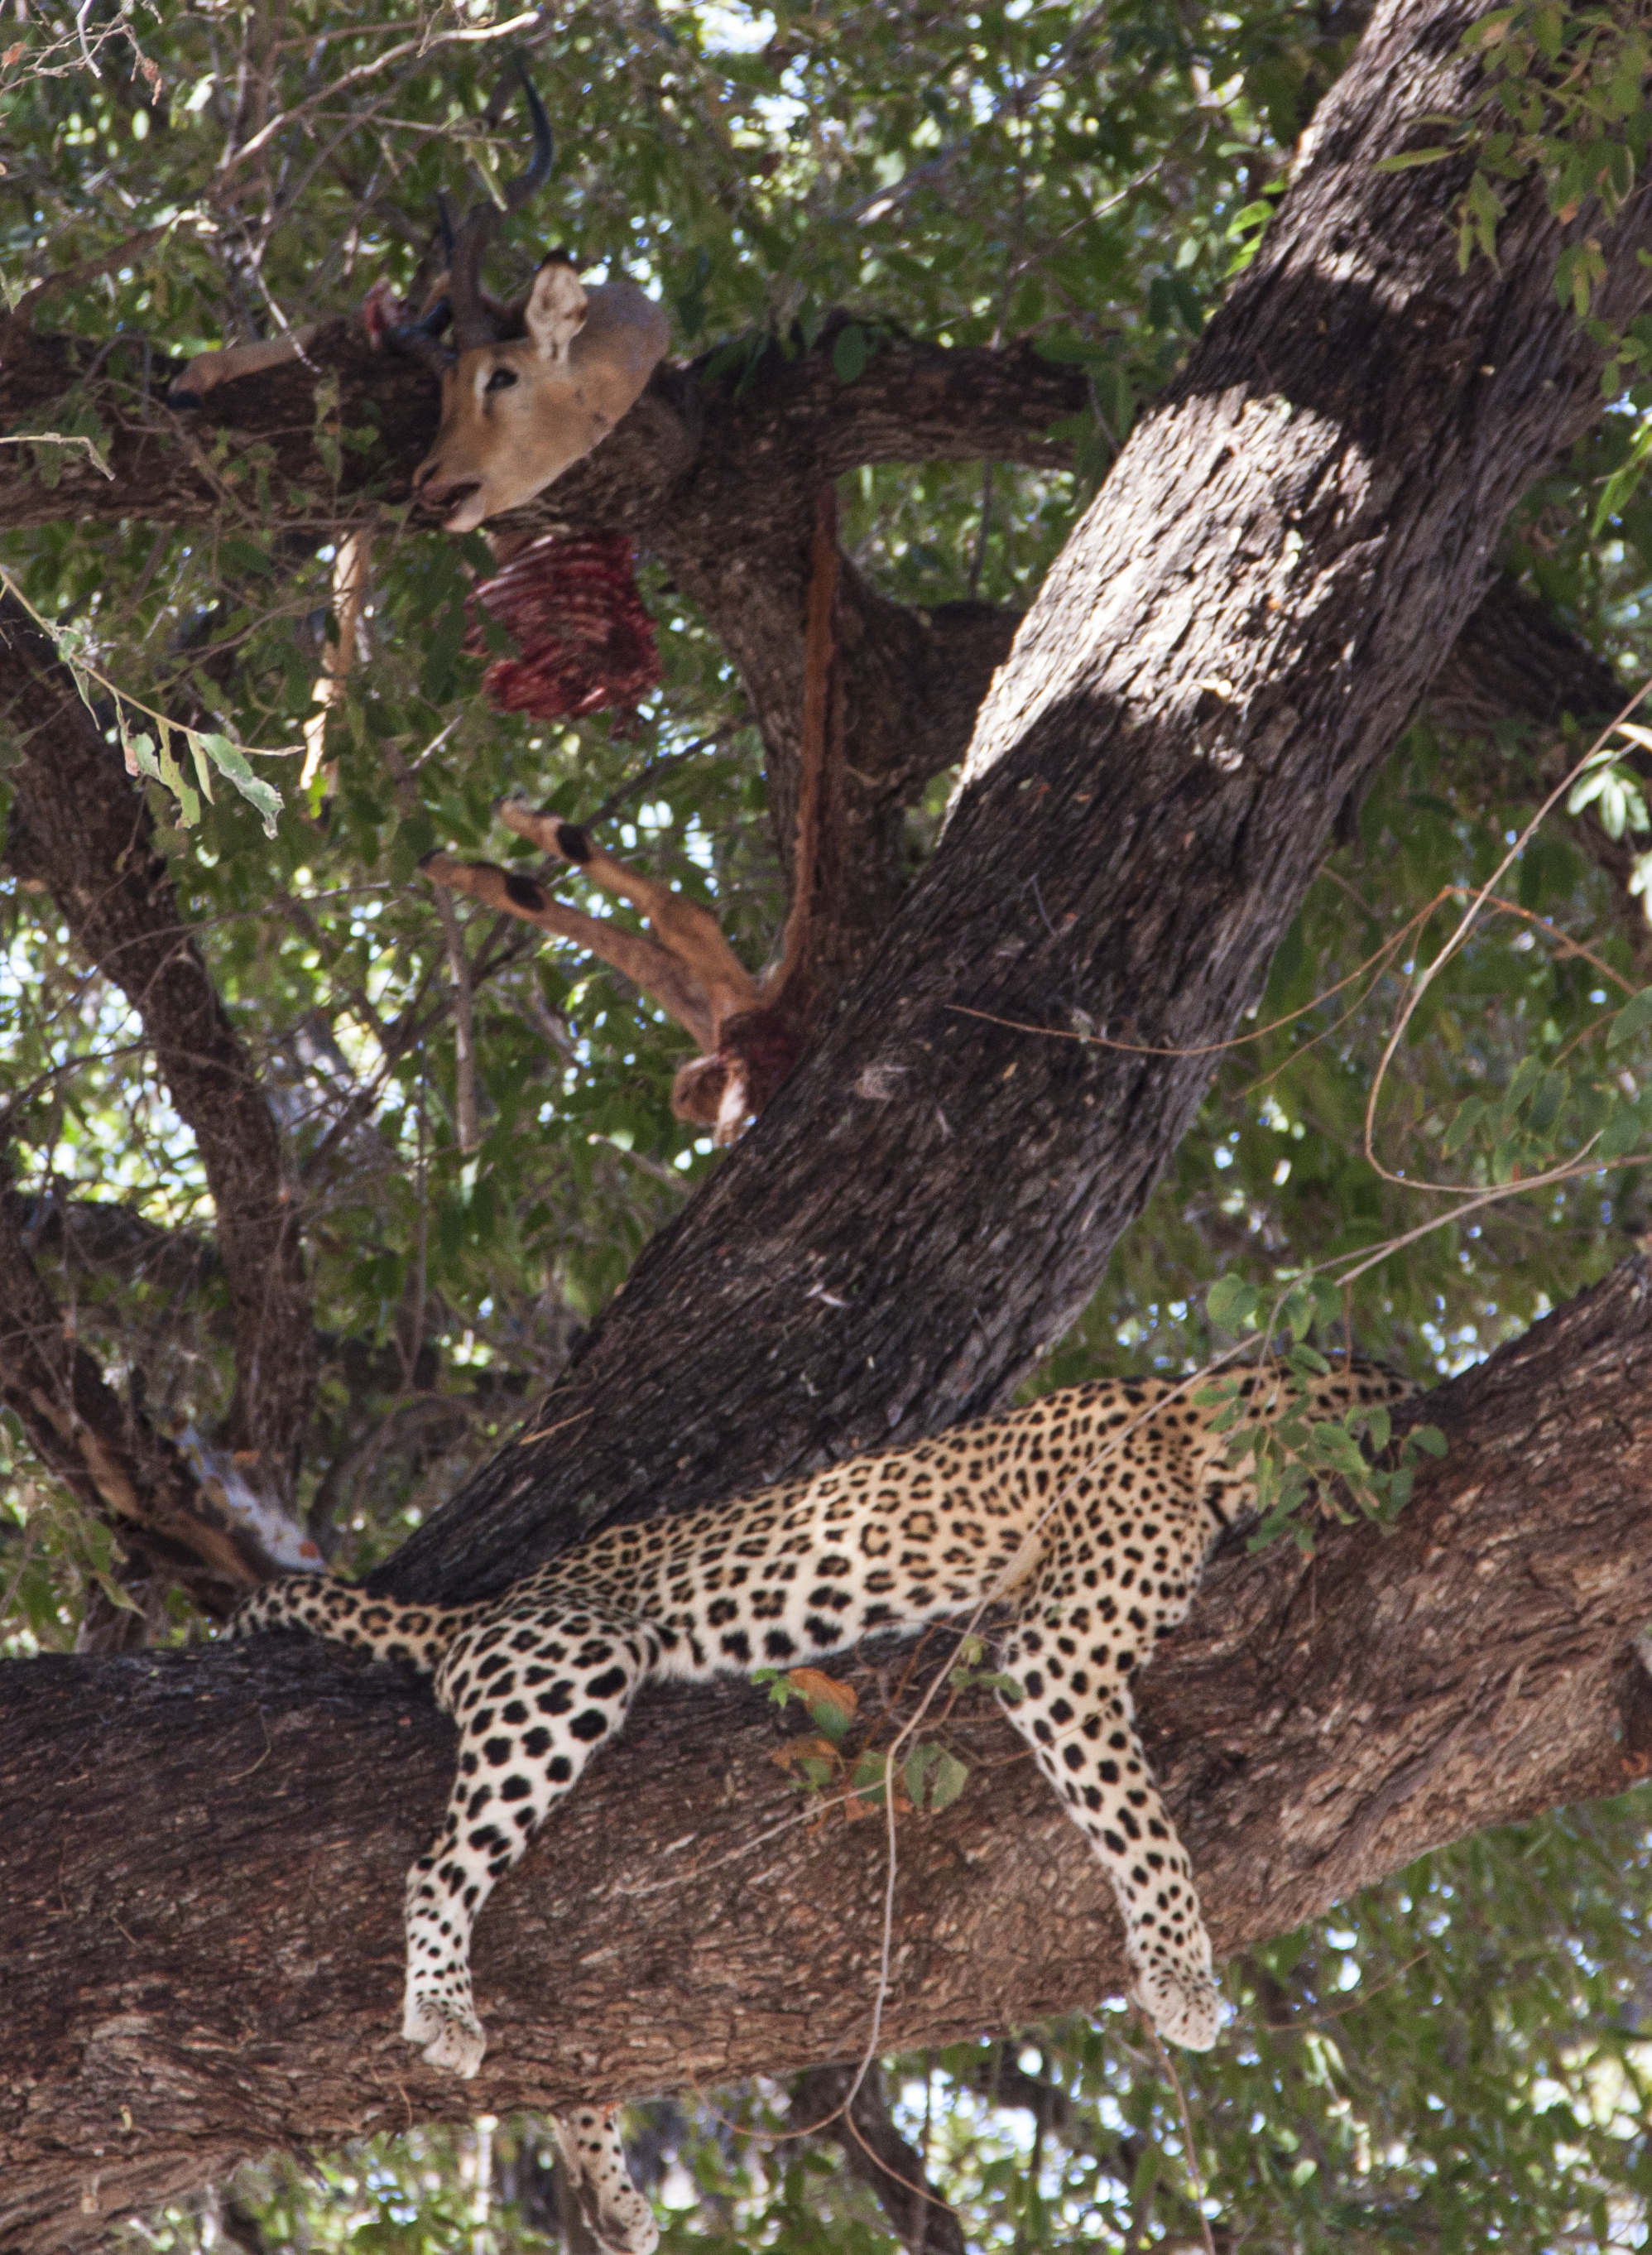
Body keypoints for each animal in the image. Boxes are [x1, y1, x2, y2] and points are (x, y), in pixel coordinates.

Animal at [234, 1357, 1414, 2097]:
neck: (1199, 1429)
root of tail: (481, 1609)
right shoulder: (1057, 1652)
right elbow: (1146, 1831)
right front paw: (1181, 1980)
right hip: (568, 1662)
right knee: (439, 1858)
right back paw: (444, 2008)